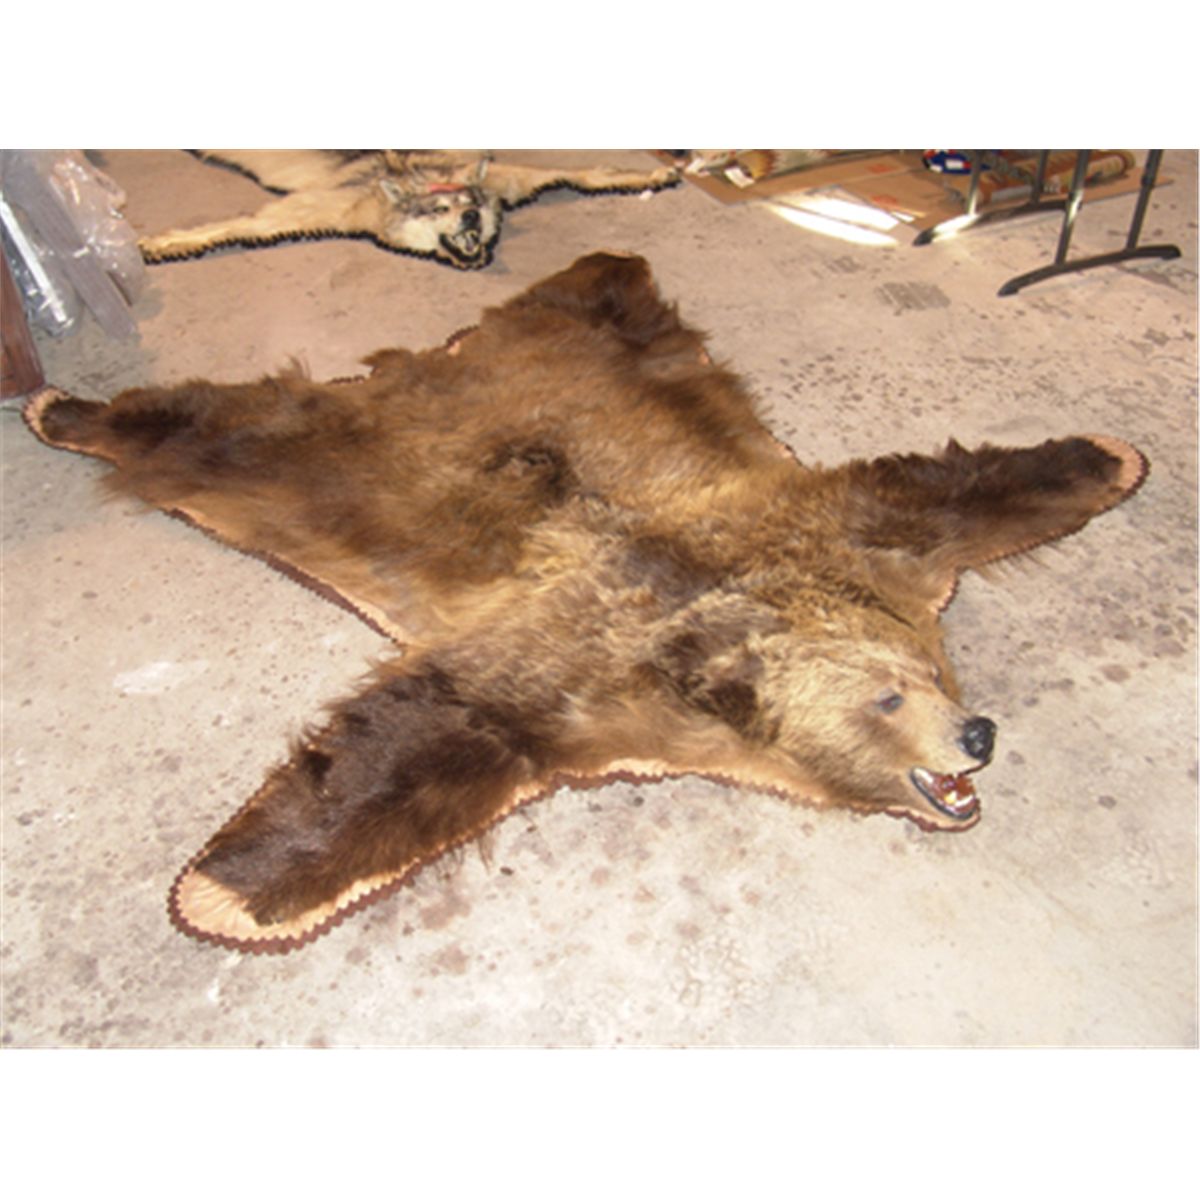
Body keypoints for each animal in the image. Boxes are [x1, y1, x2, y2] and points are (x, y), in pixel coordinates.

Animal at [23, 252, 1147, 953]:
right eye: (886, 702)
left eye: (927, 671)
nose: (978, 734)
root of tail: (419, 361)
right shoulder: (575, 669)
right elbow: (427, 737)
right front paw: (231, 888)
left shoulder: (856, 530)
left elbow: (956, 489)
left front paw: (1106, 455)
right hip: (317, 461)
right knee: (212, 431)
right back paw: (59, 404)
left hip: (611, 352)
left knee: (586, 293)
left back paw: (597, 267)